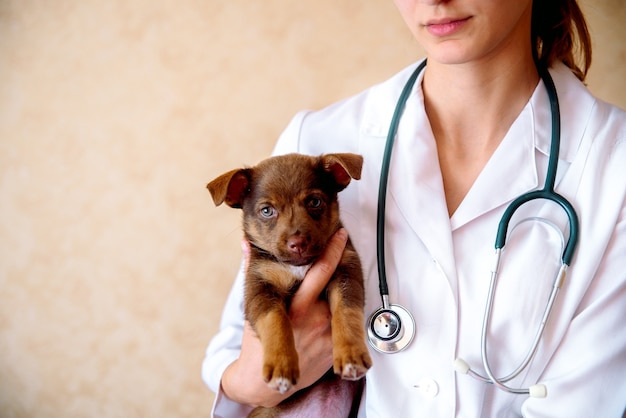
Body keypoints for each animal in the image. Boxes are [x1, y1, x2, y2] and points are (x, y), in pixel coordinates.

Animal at [205, 153, 370, 414]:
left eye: (315, 202)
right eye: (266, 210)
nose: (297, 243)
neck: (297, 265)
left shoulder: (347, 273)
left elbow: (346, 313)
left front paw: (351, 354)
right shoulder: (260, 288)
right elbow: (275, 322)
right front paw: (282, 365)